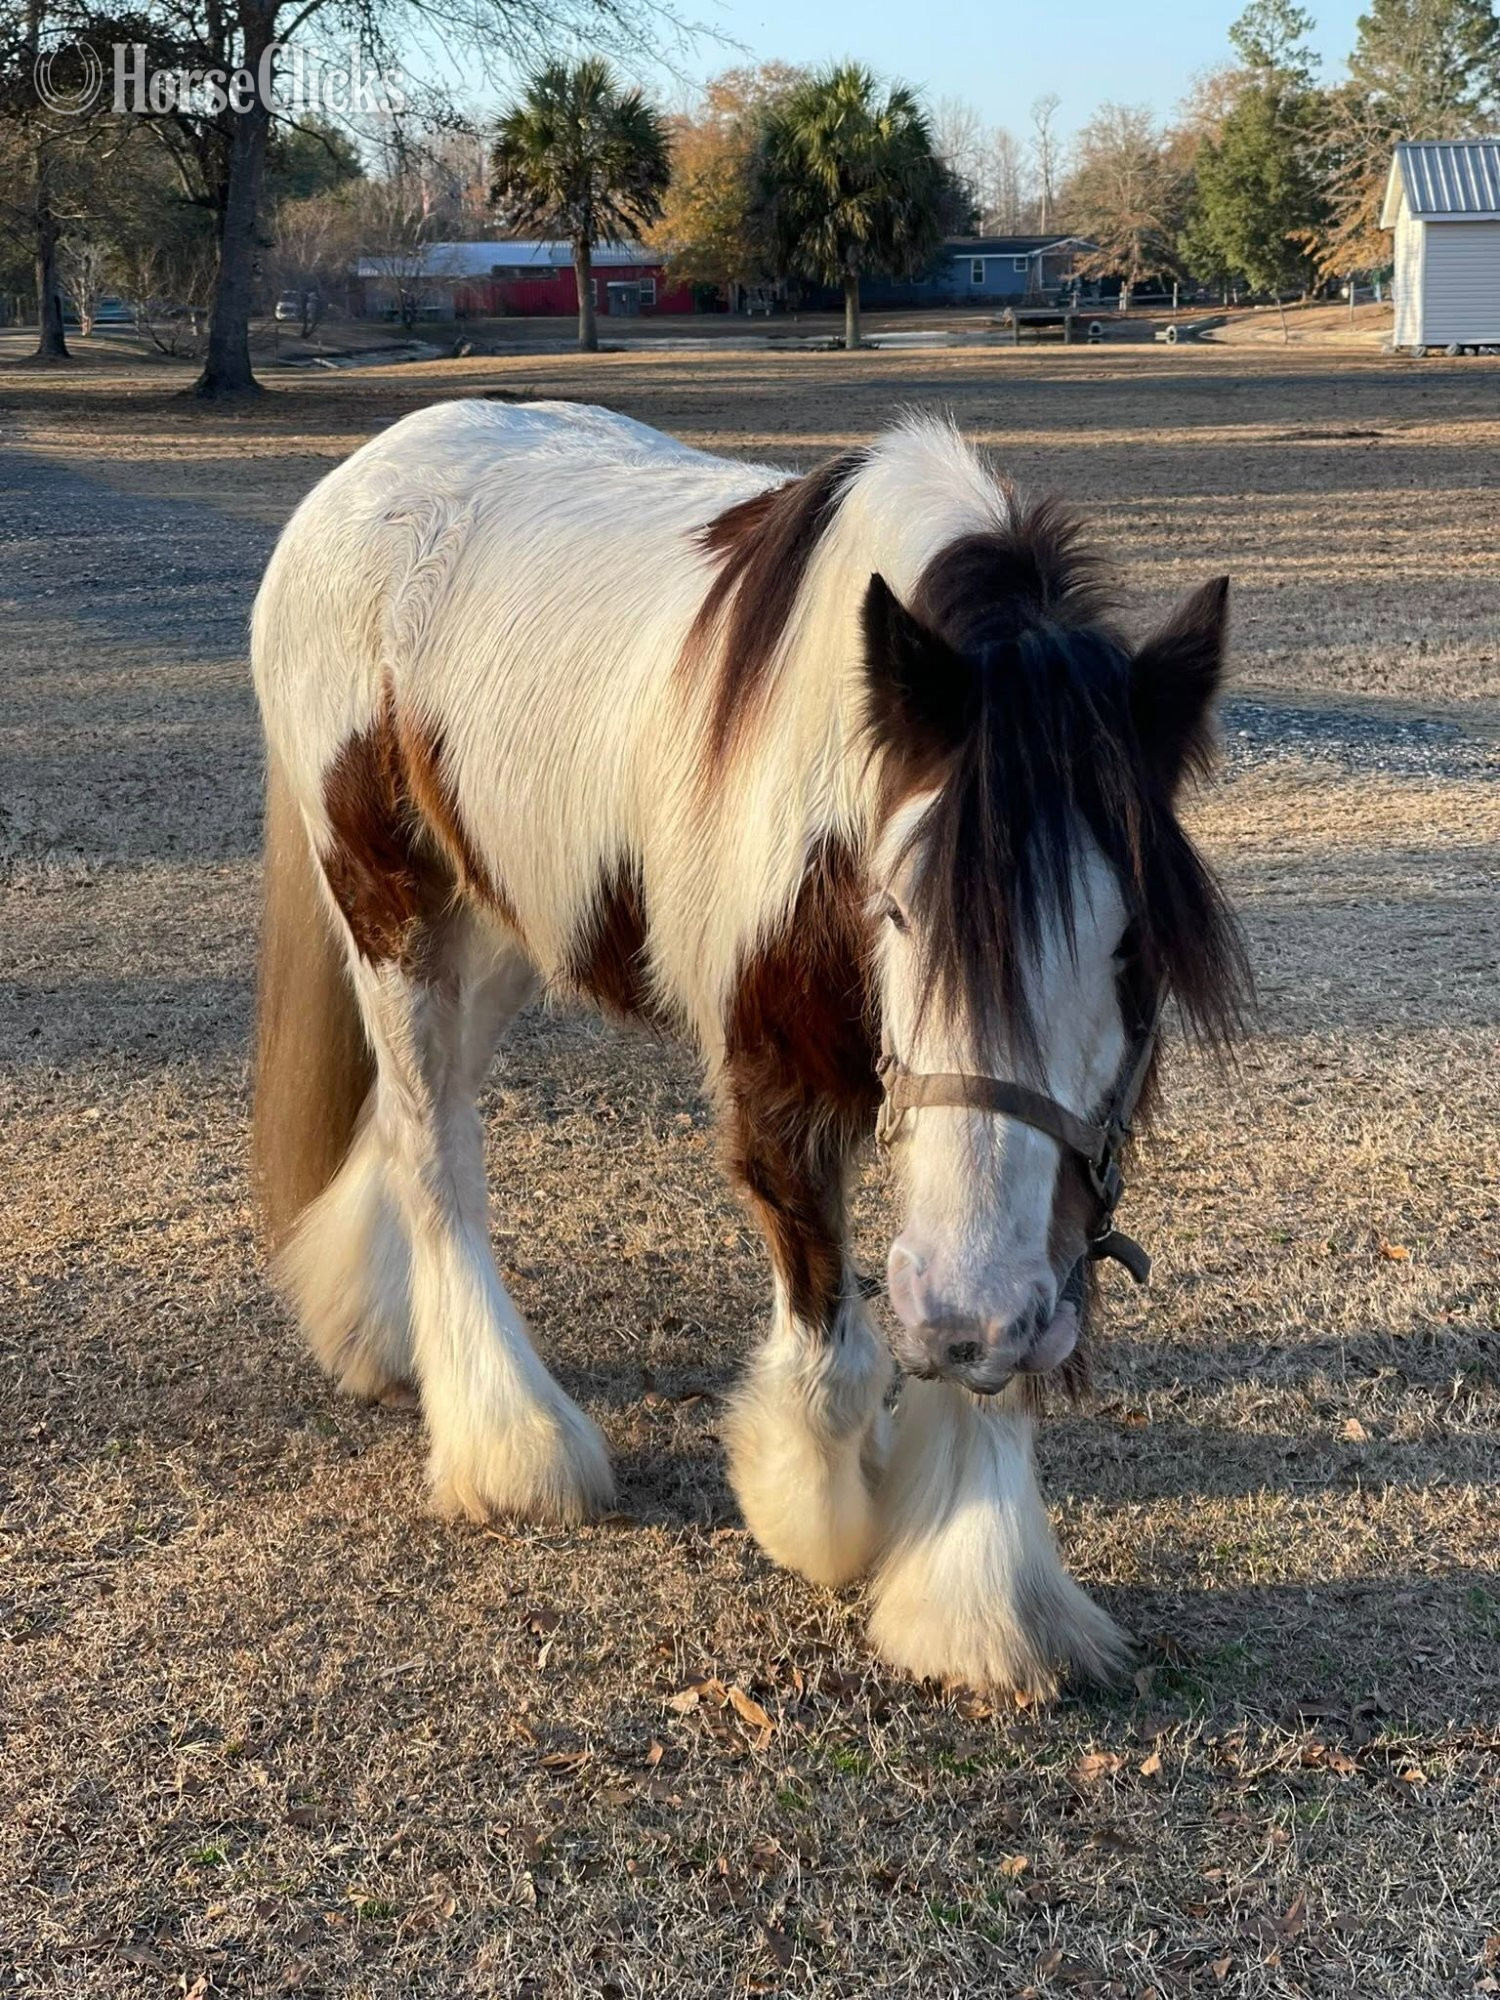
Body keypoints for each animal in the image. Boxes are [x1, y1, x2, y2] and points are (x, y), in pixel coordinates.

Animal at [251, 399, 1246, 1695]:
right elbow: (832, 1355)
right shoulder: (777, 1087)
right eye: (898, 911)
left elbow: (1004, 1340)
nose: (963, 1313)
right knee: (434, 1149)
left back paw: (372, 1331)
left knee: (420, 1106)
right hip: (391, 905)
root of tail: (363, 474)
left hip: (509, 918)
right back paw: (515, 1446)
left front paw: (980, 1603)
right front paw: (824, 1517)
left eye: (1133, 945)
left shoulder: (1060, 1162)